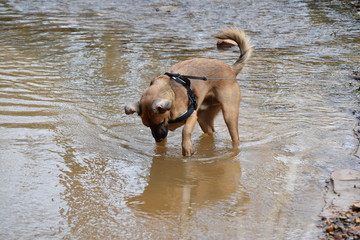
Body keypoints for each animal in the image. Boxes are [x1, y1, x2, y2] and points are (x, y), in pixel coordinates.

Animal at [125, 28, 252, 157]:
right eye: (147, 126)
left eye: (161, 122)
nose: (158, 140)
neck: (171, 91)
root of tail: (231, 69)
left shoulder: (191, 116)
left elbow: (185, 131)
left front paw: (187, 148)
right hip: (203, 118)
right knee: (211, 132)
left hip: (229, 115)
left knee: (235, 137)